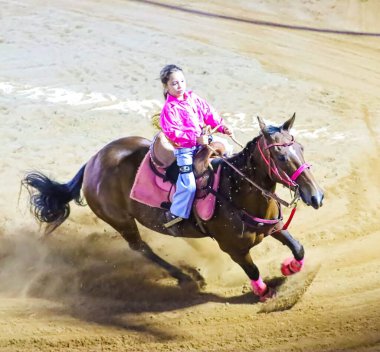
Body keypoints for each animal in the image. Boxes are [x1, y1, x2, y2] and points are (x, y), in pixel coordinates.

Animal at [22, 114, 324, 302]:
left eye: (301, 148)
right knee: (140, 247)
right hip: (121, 221)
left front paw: (289, 268)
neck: (235, 189)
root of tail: (93, 161)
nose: (316, 195)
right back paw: (184, 276)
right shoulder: (234, 249)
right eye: (281, 156)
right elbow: (253, 271)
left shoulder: (273, 227)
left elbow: (298, 248)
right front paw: (264, 293)